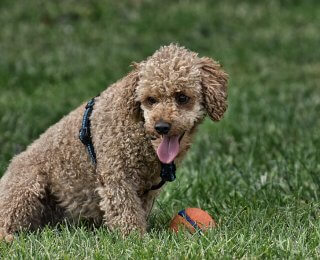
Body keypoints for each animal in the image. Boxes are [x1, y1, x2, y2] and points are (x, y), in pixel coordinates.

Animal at [0, 43, 228, 241]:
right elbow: (126, 212)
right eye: (151, 100)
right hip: (27, 187)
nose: (161, 126)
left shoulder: (147, 190)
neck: (140, 130)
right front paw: (137, 240)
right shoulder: (116, 174)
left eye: (182, 97)